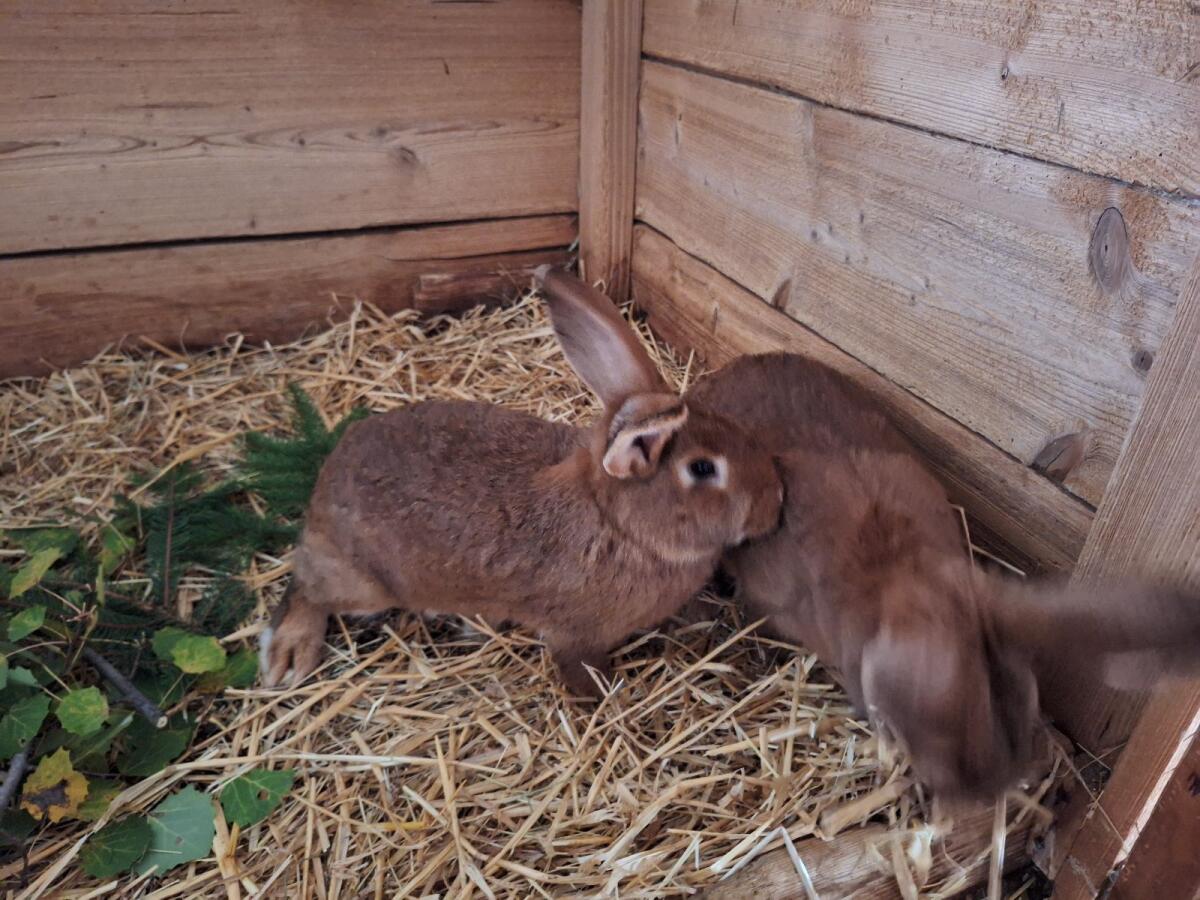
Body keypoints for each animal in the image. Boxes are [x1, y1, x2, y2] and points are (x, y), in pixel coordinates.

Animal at [260, 268, 783, 697]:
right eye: (703, 469)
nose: (775, 502)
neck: (620, 524)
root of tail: (323, 483)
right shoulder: (577, 634)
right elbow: (581, 669)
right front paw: (605, 699)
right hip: (364, 584)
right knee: (306, 584)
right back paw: (290, 652)